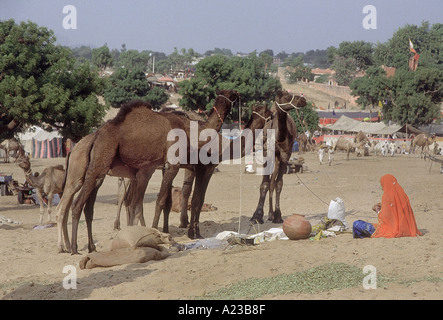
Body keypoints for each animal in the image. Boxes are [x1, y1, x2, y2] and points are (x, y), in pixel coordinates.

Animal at [251, 90, 306, 225]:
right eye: (286, 97)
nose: (303, 100)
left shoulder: (286, 154)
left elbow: (279, 183)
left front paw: (277, 215)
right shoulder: (267, 152)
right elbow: (264, 184)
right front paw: (257, 216)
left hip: (277, 158)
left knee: (273, 182)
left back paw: (271, 215)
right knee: (269, 182)